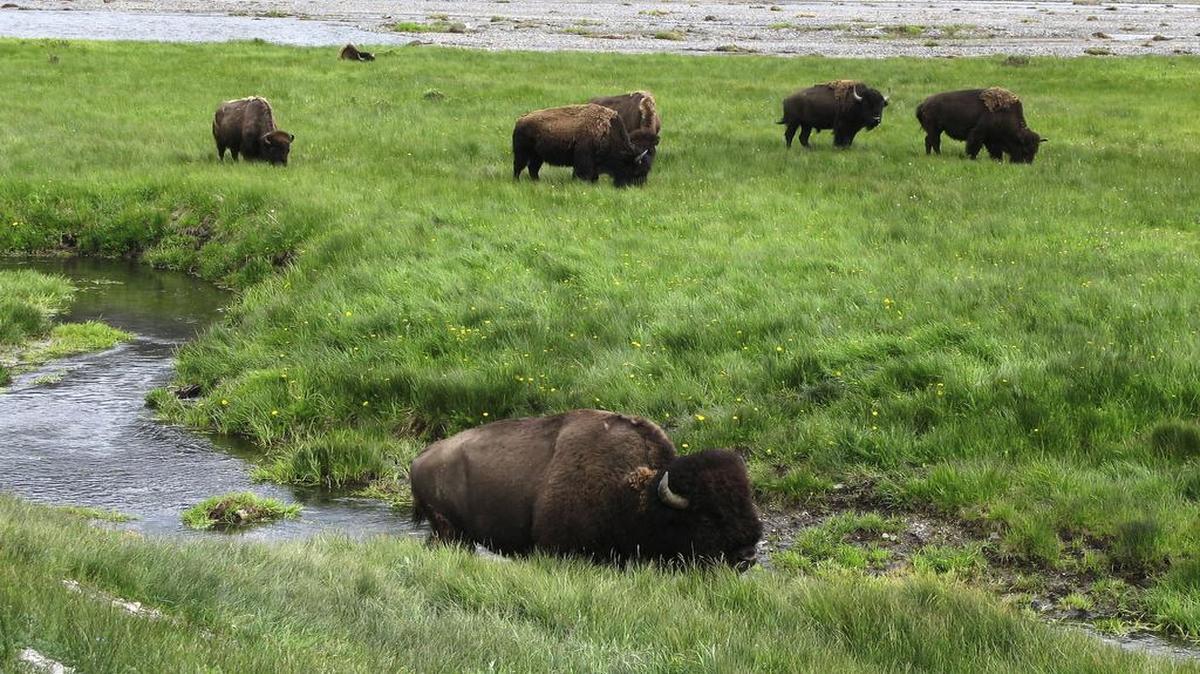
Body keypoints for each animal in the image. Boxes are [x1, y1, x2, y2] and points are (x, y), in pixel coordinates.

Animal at [512, 104, 653, 186]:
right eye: (637, 171)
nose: (639, 186)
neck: (607, 131)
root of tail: (520, 120)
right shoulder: (584, 161)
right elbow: (583, 173)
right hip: (522, 153)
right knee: (519, 168)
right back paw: (517, 181)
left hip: (538, 156)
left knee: (533, 169)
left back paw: (537, 182)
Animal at [916, 88, 1046, 163]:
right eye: (1024, 149)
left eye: (1035, 150)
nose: (1026, 163)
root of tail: (924, 104)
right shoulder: (978, 134)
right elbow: (974, 147)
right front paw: (971, 158)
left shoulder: (992, 140)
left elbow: (994, 150)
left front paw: (997, 160)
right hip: (935, 130)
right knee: (934, 141)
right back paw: (938, 155)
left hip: (935, 130)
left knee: (929, 141)